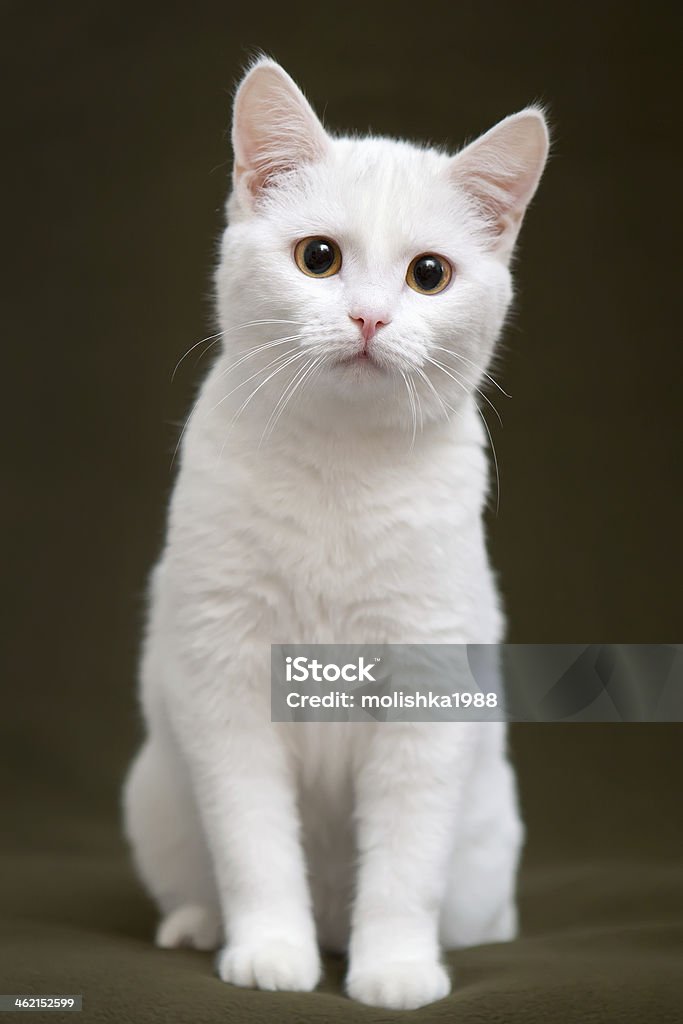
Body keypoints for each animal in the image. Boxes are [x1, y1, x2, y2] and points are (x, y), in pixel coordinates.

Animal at [122, 59, 548, 1011]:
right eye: (318, 258)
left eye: (428, 274)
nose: (369, 319)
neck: (339, 469)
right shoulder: (225, 675)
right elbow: (253, 845)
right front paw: (270, 952)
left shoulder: (426, 683)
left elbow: (402, 867)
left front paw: (394, 968)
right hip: (156, 794)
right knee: (203, 877)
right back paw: (201, 927)